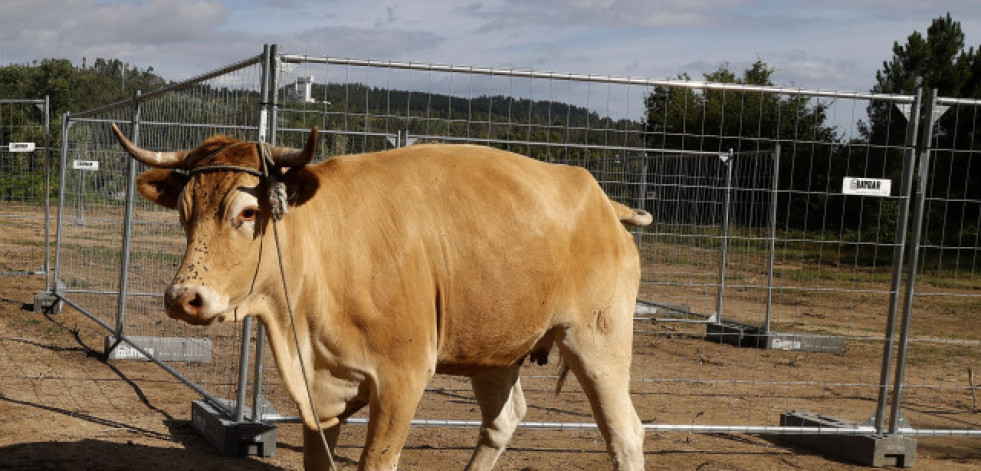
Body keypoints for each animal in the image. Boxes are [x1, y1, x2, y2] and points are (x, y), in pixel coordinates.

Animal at [113, 126, 652, 471]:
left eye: (247, 212)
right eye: (183, 212)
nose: (183, 297)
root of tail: (602, 201)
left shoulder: (401, 378)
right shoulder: (318, 390)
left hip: (596, 338)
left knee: (625, 433)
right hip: (494, 350)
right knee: (503, 421)